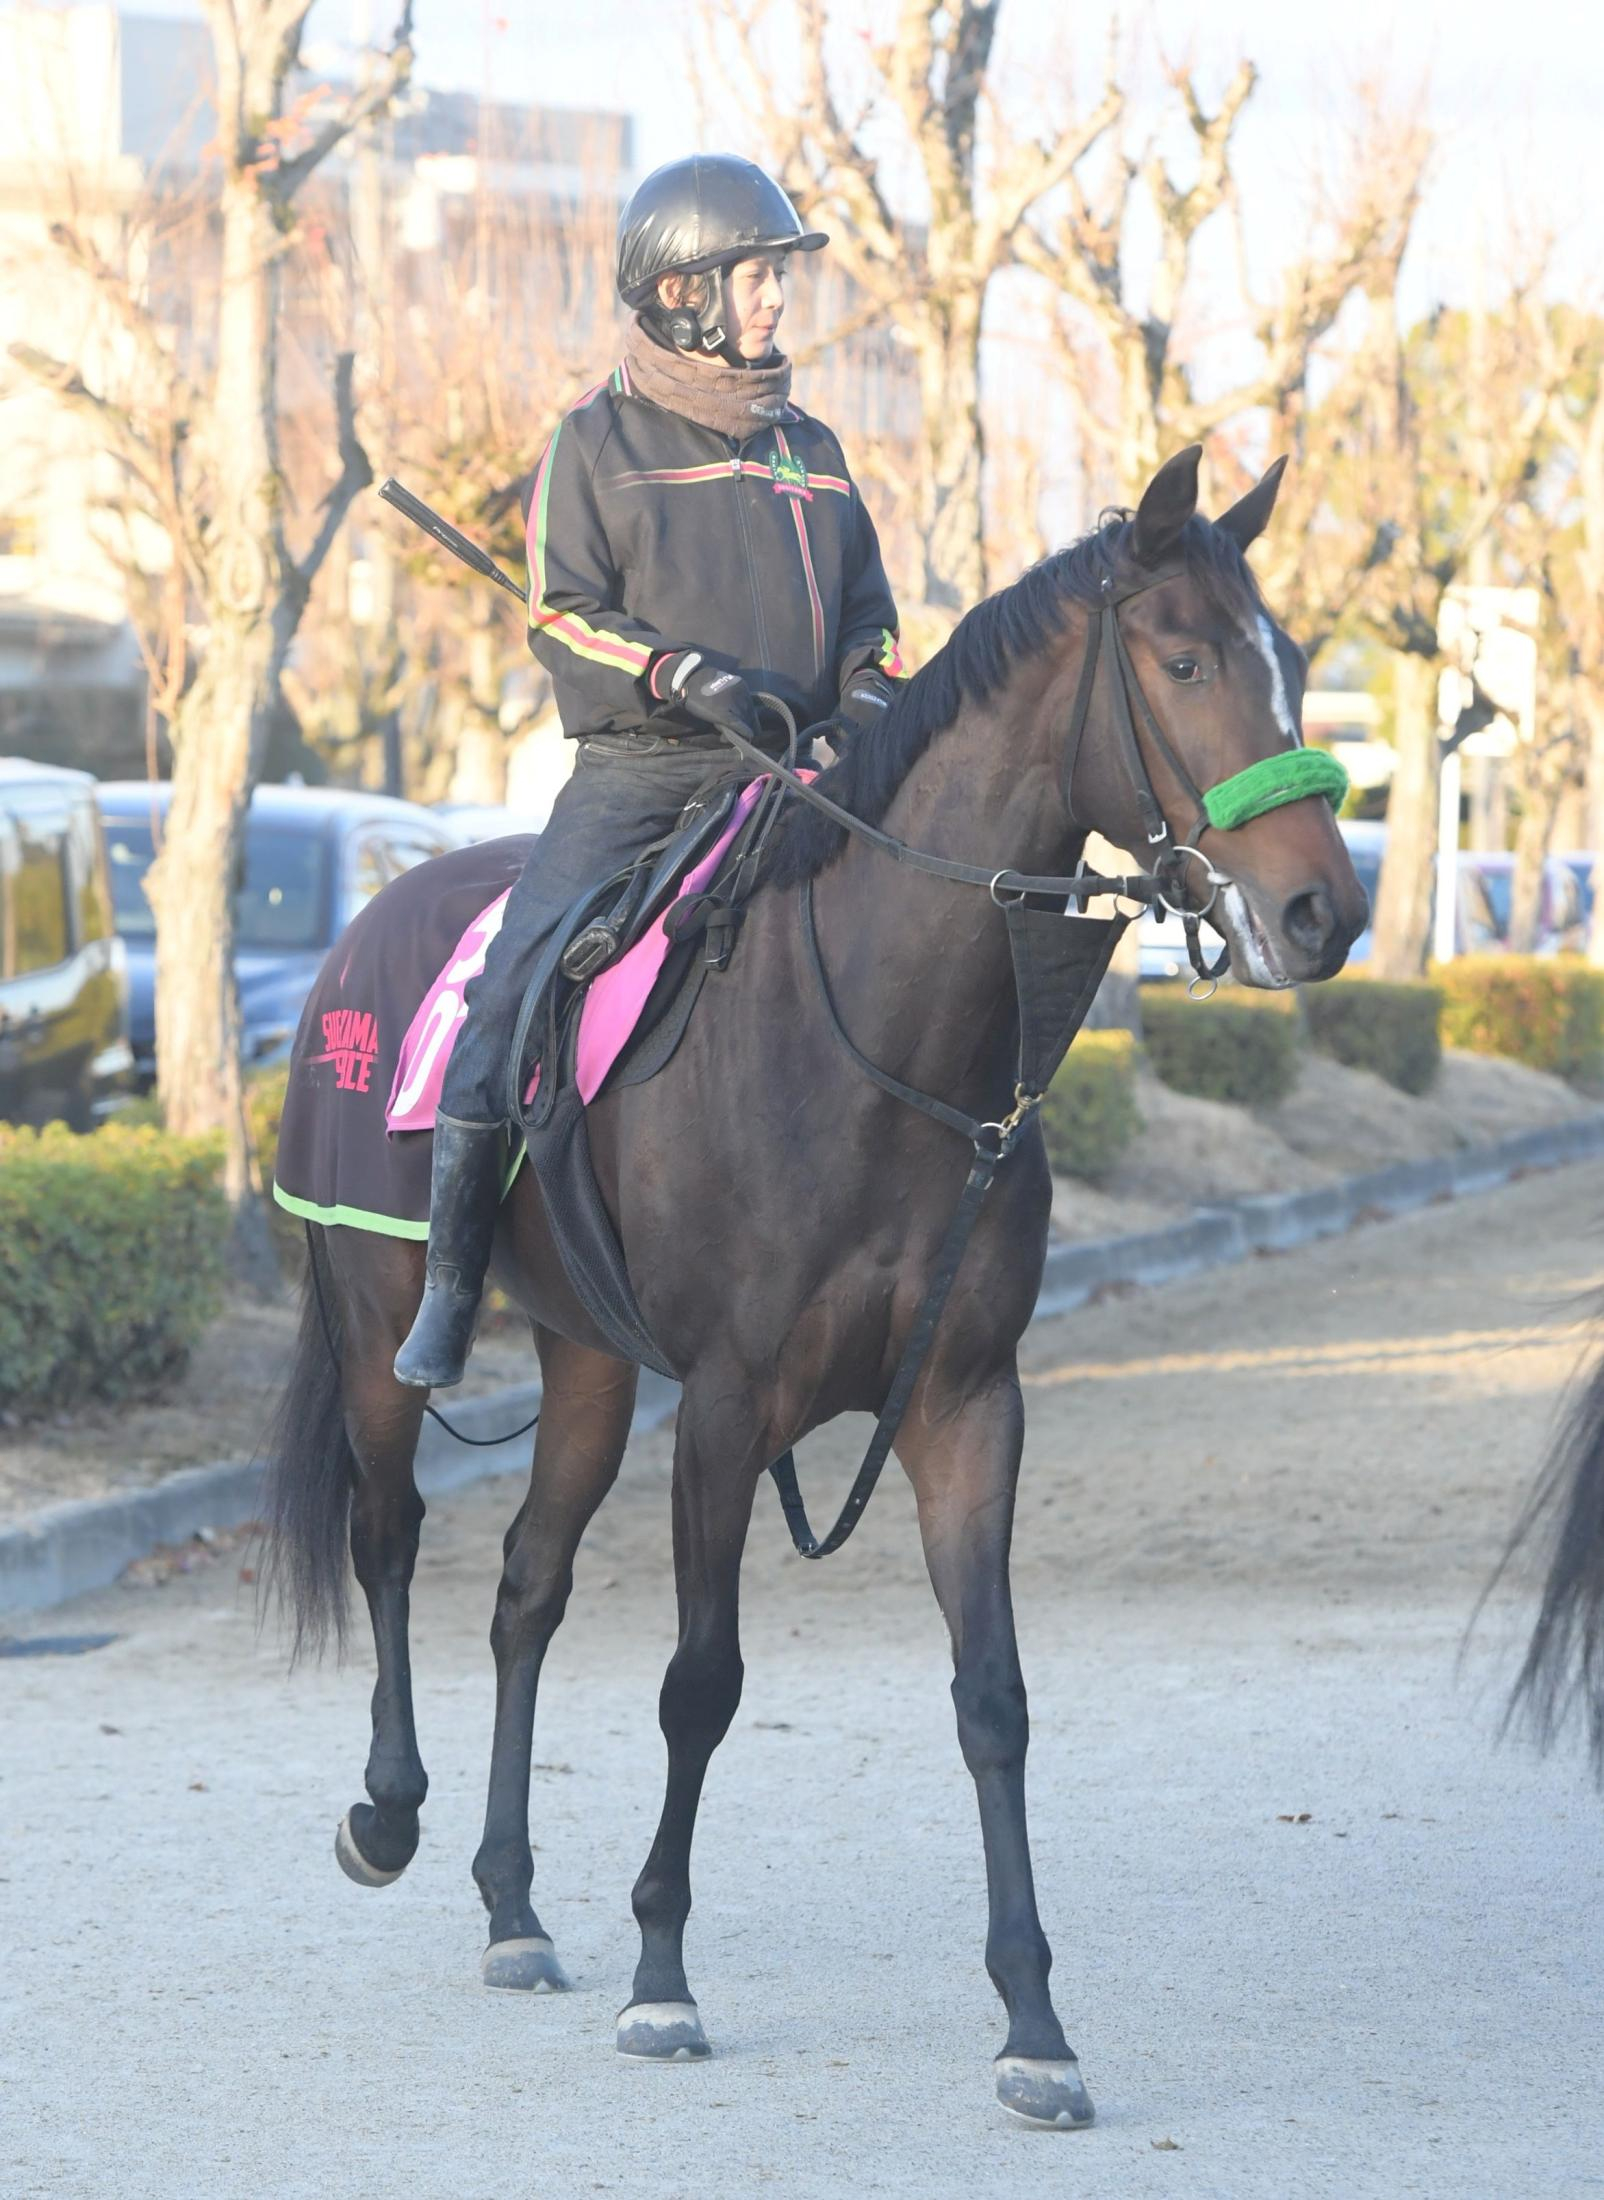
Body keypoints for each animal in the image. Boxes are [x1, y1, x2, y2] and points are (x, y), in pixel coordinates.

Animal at [262, 442, 1364, 2129]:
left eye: (1293, 663)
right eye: (1184, 662)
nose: (1326, 911)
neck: (883, 1042)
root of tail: (382, 912)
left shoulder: (968, 1405)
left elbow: (993, 1698)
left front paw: (1033, 2022)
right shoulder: (726, 1409)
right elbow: (700, 1683)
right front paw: (663, 1975)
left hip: (589, 1365)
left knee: (525, 1589)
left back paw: (513, 1905)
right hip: (384, 1314)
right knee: (390, 1540)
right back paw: (389, 1816)